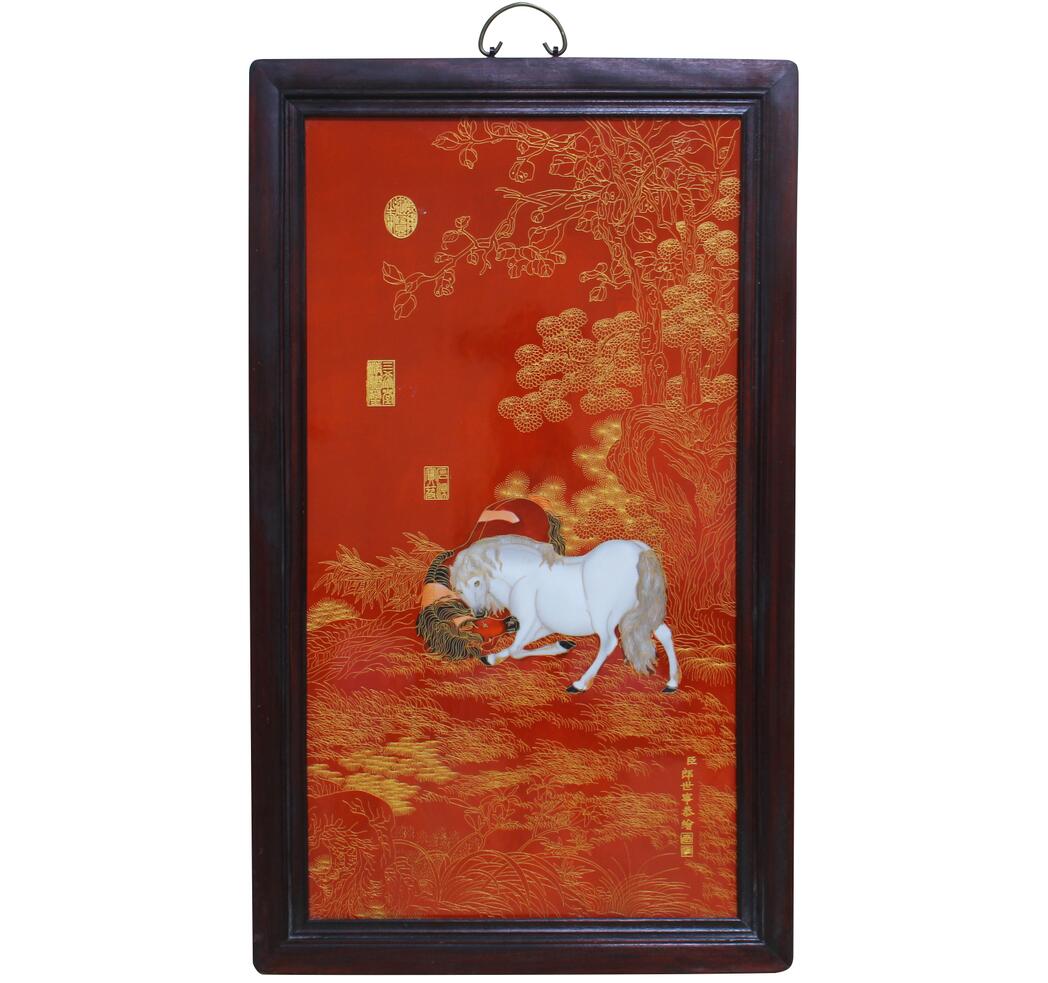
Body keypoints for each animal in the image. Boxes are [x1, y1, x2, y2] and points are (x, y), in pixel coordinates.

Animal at [449, 534, 680, 693]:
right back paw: (672, 682)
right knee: (664, 634)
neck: (524, 575)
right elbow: (518, 648)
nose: (479, 613)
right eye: (459, 590)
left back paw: (580, 684)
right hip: (643, 612)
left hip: (604, 617)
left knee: (609, 643)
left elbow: (516, 649)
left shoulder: (529, 621)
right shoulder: (542, 626)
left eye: (476, 582)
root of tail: (639, 551)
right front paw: (563, 645)